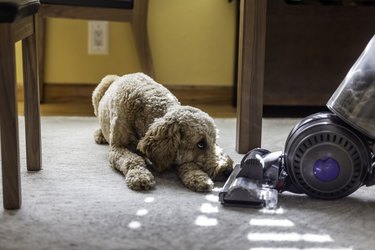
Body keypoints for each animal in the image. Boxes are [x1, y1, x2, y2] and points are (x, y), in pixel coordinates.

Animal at [92, 72, 232, 191]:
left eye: (215, 140)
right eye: (201, 144)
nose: (229, 170)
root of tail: (121, 76)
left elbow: (187, 164)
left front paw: (198, 177)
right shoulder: (117, 148)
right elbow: (133, 159)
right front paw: (139, 175)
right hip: (102, 86)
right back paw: (100, 134)